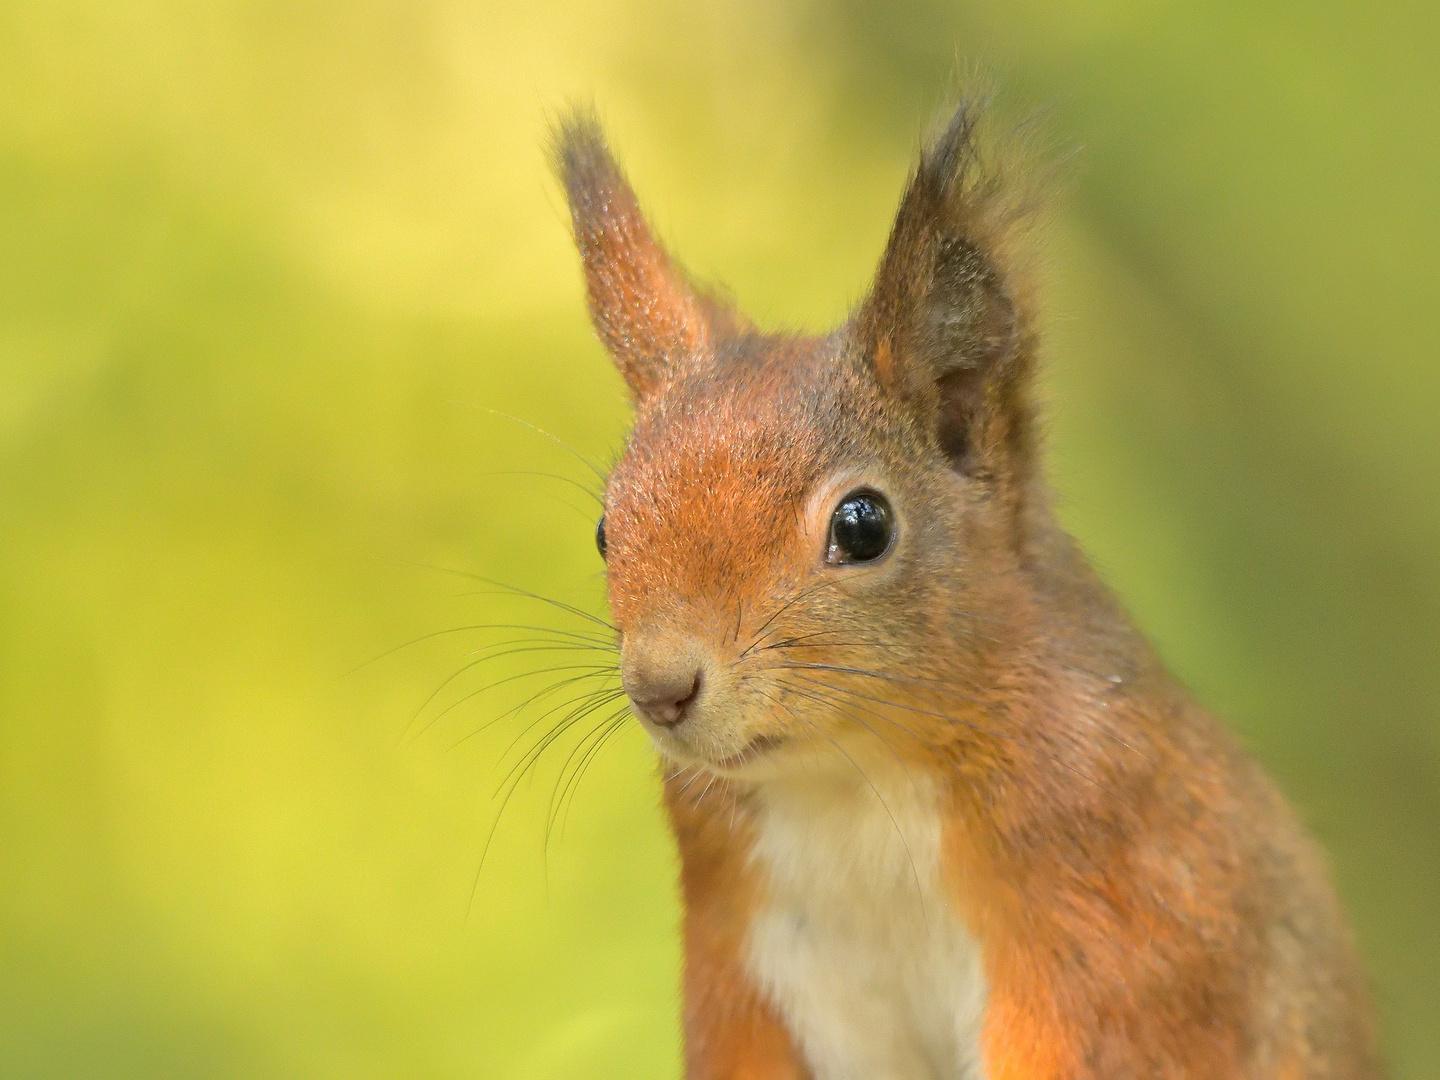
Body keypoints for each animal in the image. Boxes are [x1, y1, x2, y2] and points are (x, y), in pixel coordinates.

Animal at [544, 97, 1376, 1077]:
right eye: (606, 528)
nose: (660, 687)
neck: (854, 779)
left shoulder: (1125, 917)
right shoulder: (739, 966)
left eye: (863, 526)